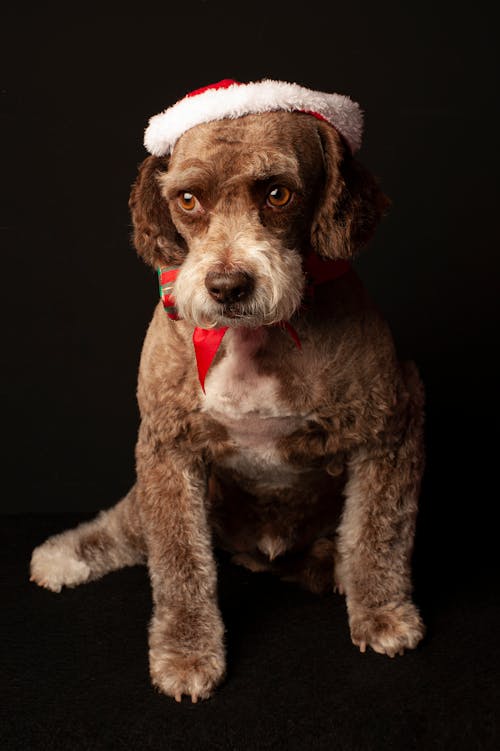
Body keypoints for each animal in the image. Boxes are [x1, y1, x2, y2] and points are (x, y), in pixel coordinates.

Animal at [29, 79, 424, 704]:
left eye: (278, 193)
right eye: (188, 200)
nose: (228, 285)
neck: (253, 336)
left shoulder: (391, 423)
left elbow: (379, 532)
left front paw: (383, 614)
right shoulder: (167, 446)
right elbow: (178, 563)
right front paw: (188, 653)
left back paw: (331, 567)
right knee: (128, 526)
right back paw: (68, 553)